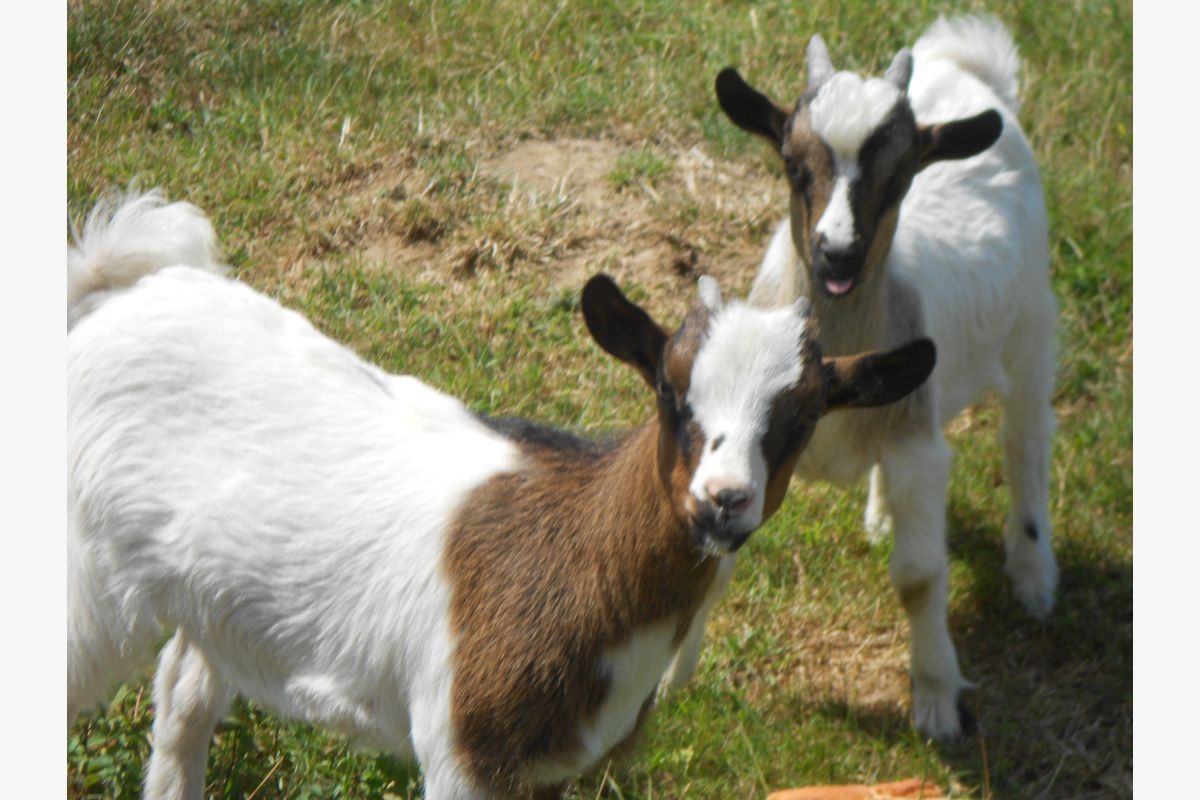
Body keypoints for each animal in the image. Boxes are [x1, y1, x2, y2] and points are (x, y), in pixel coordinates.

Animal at [67, 191, 937, 798]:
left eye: (804, 416)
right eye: (669, 389)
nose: (723, 500)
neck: (578, 561)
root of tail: (128, 290)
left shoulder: (561, 769)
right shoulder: (463, 751)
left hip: (211, 597)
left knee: (184, 686)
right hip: (84, 558)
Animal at [696, 16, 1058, 740]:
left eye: (900, 176)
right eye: (792, 164)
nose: (838, 254)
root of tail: (967, 69)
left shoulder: (917, 446)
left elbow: (918, 577)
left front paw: (937, 699)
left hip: (1032, 313)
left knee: (1026, 435)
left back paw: (1034, 575)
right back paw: (883, 512)